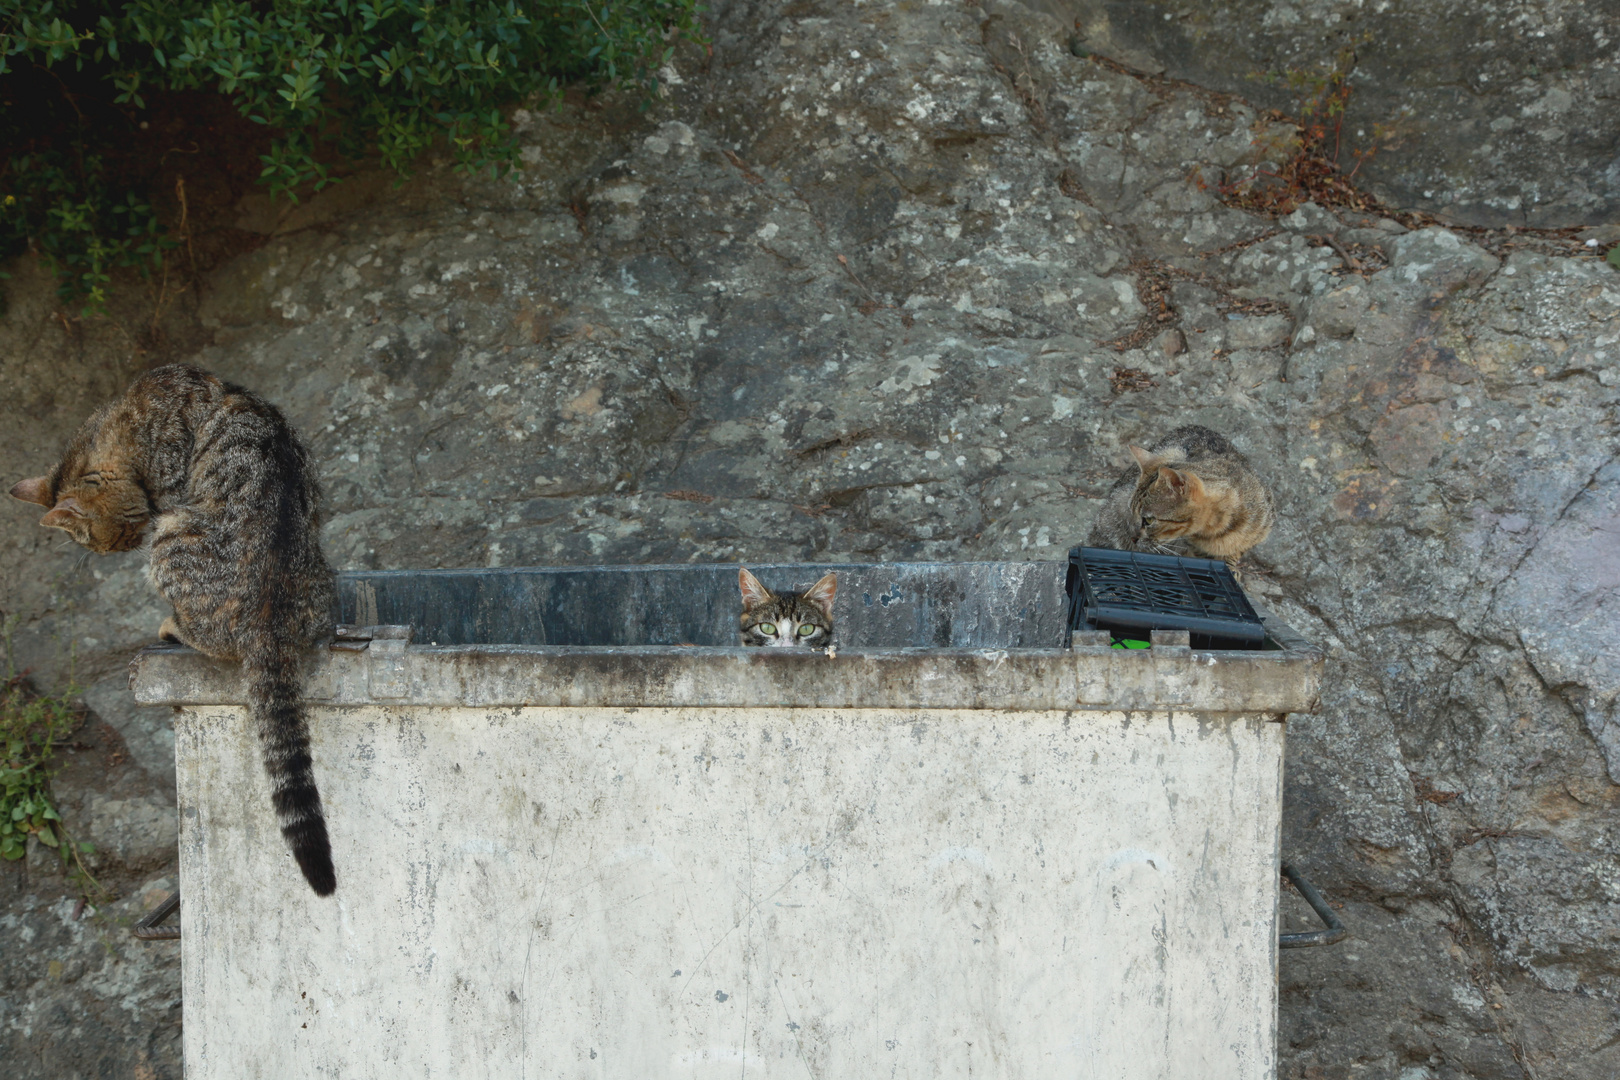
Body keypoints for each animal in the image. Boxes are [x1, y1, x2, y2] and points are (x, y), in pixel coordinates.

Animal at [10, 362, 341, 893]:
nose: (122, 547)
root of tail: (269, 617)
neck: (116, 424)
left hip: (170, 537)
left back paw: (173, 624)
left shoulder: (166, 479)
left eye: (104, 541)